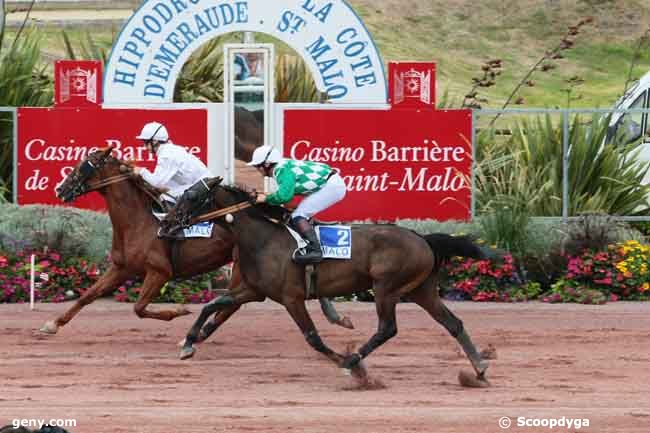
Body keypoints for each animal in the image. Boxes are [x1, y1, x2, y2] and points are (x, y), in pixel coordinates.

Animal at [42, 148, 350, 334]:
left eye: (85, 166)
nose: (60, 189)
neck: (138, 222)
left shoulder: (159, 271)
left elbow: (139, 308)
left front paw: (178, 311)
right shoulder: (121, 268)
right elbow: (88, 295)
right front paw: (53, 324)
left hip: (241, 269)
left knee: (232, 304)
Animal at [163, 179, 492, 382]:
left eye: (191, 196)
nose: (165, 224)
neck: (263, 239)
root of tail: (422, 238)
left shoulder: (292, 298)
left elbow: (313, 337)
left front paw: (342, 361)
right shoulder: (253, 291)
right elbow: (212, 305)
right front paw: (188, 344)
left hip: (386, 287)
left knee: (387, 328)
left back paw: (352, 361)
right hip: (422, 290)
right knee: (453, 324)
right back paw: (479, 367)